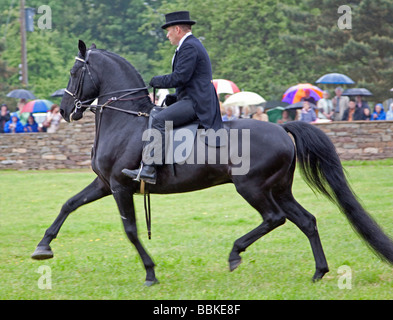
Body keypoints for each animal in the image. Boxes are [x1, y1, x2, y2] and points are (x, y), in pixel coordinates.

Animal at [31, 40, 392, 284]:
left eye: (74, 72)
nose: (65, 111)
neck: (125, 120)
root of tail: (281, 126)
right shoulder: (104, 183)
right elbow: (69, 204)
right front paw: (43, 247)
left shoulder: (120, 187)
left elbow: (130, 230)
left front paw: (150, 273)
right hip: (279, 188)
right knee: (306, 221)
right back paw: (318, 272)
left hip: (253, 187)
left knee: (274, 218)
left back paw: (235, 253)